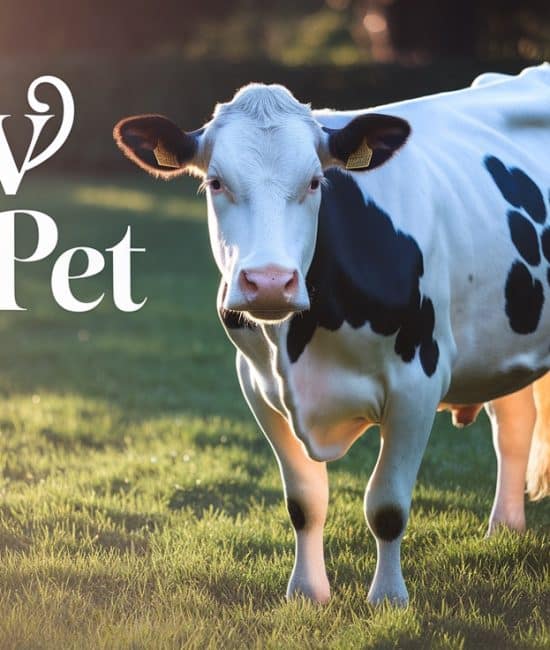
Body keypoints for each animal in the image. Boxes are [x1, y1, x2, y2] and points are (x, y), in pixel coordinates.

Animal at [113, 64, 550, 605]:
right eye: (215, 182)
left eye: (316, 181)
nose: (269, 281)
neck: (301, 348)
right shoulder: (257, 386)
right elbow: (305, 501)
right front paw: (306, 592)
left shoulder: (417, 383)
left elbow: (387, 506)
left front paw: (388, 599)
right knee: (513, 426)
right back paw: (504, 529)